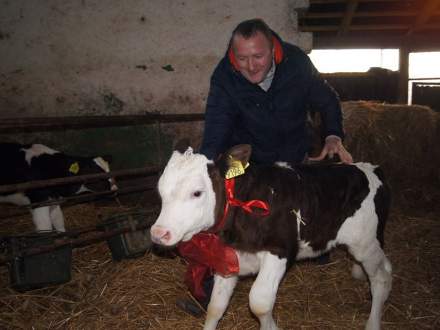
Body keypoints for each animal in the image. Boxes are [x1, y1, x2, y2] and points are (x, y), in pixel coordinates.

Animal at [150, 144, 392, 330]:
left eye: (197, 192)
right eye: (160, 191)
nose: (158, 233)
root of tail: (370, 168)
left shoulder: (279, 251)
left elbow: (259, 302)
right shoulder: (229, 259)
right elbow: (215, 306)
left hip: (365, 242)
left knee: (381, 276)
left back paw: (373, 323)